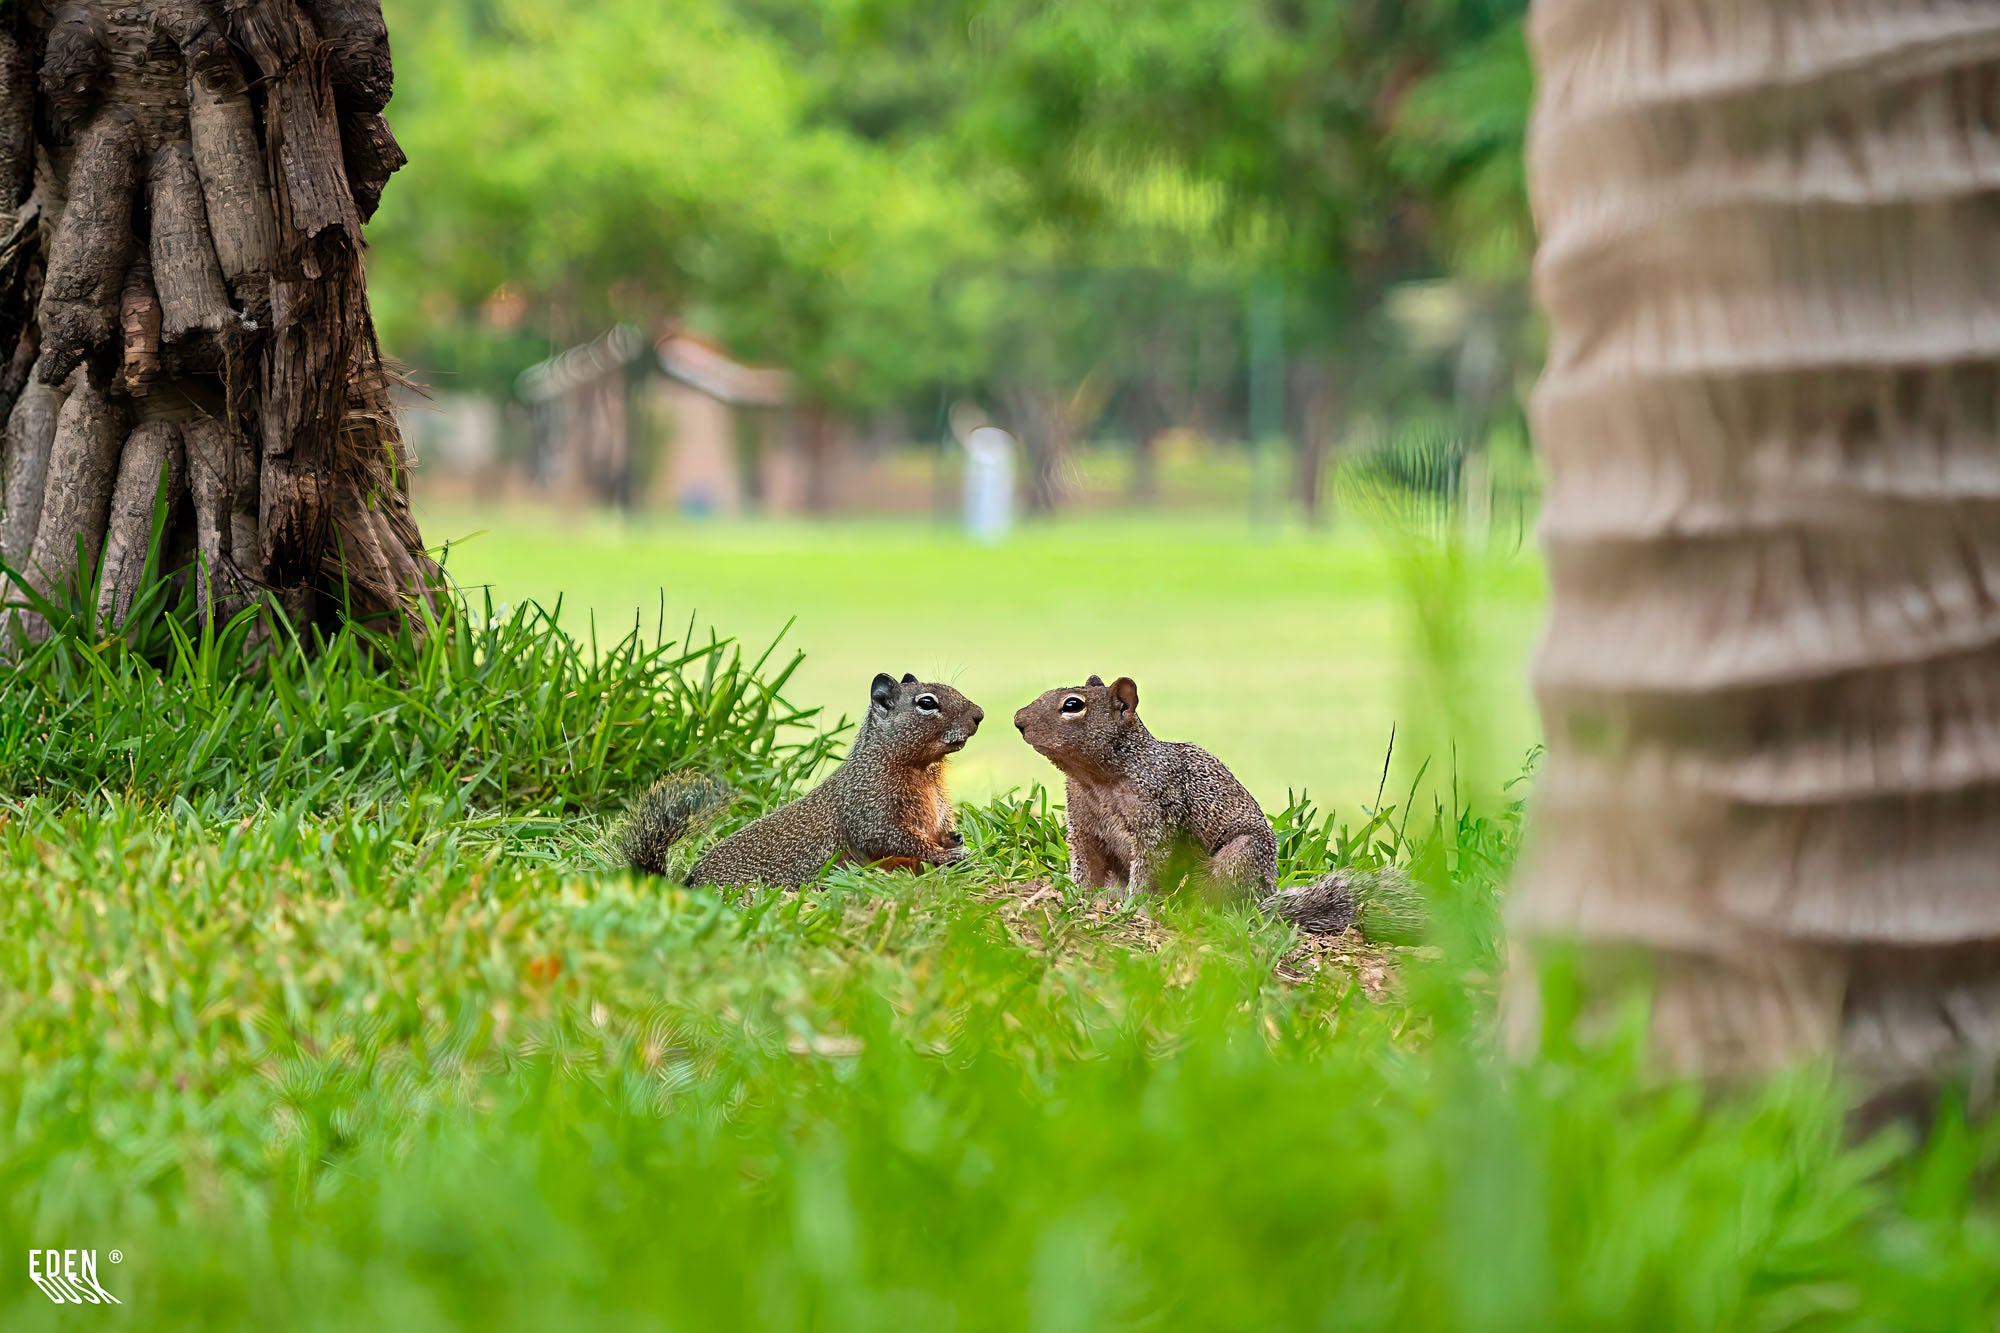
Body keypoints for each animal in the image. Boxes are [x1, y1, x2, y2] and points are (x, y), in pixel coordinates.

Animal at [623, 672, 985, 888]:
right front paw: (947, 855)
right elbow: (891, 838)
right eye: (926, 703)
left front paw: (955, 841)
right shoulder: (869, 809)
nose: (979, 715)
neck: (923, 770)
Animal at [1014, 674, 1283, 900]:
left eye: (1072, 705)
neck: (1094, 780)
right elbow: (1086, 867)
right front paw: (1079, 897)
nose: (1018, 720)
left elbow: (1148, 867)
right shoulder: (1083, 827)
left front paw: (1134, 906)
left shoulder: (1158, 817)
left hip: (1241, 853)